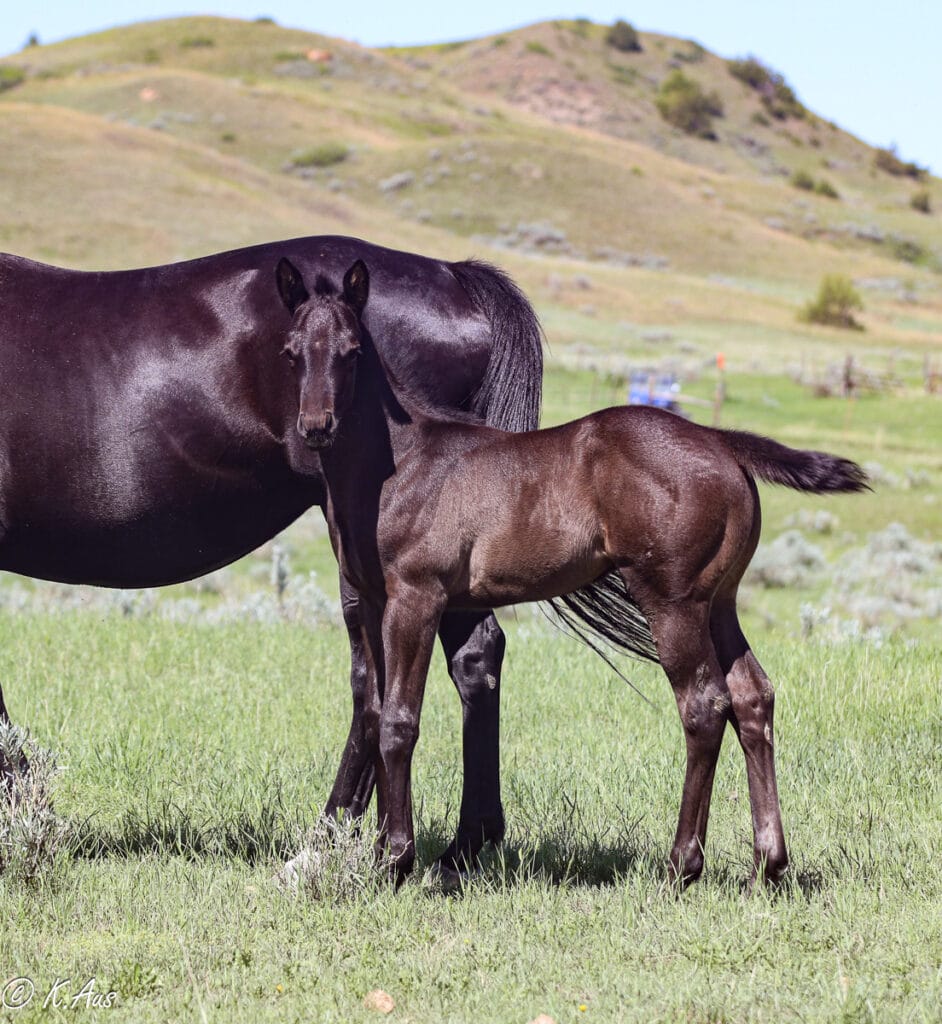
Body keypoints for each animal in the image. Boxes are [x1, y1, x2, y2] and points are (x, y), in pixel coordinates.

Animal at [278, 258, 868, 888]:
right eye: (291, 351)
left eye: (352, 351)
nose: (316, 426)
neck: (402, 462)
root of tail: (719, 440)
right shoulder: (372, 601)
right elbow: (372, 710)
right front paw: (383, 855)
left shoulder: (417, 597)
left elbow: (398, 722)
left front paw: (395, 860)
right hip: (720, 602)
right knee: (753, 696)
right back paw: (768, 861)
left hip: (673, 601)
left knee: (705, 706)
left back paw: (681, 864)